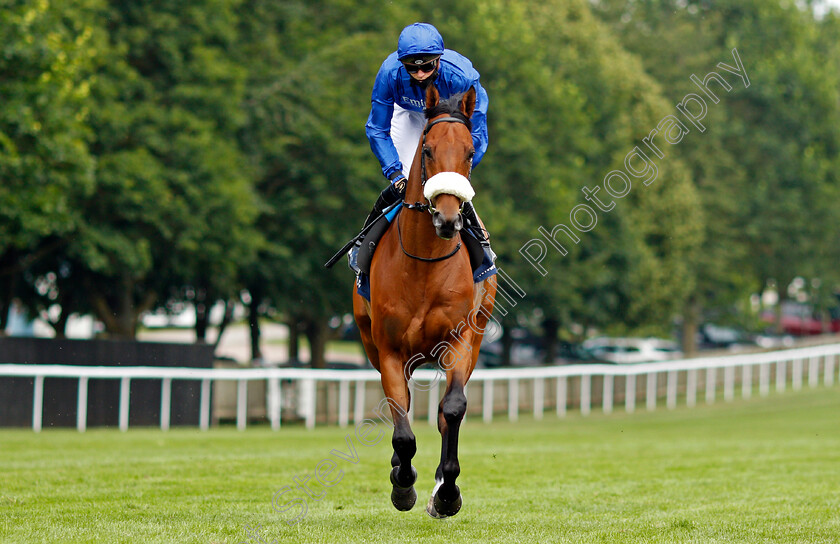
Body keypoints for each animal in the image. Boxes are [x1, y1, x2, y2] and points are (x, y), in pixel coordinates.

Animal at [352, 82, 496, 520]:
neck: (424, 263)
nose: (448, 219)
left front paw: (446, 492)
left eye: (469, 152)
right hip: (370, 342)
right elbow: (401, 422)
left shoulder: (460, 341)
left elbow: (452, 410)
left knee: (444, 412)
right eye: (428, 150)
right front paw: (403, 484)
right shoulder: (388, 350)